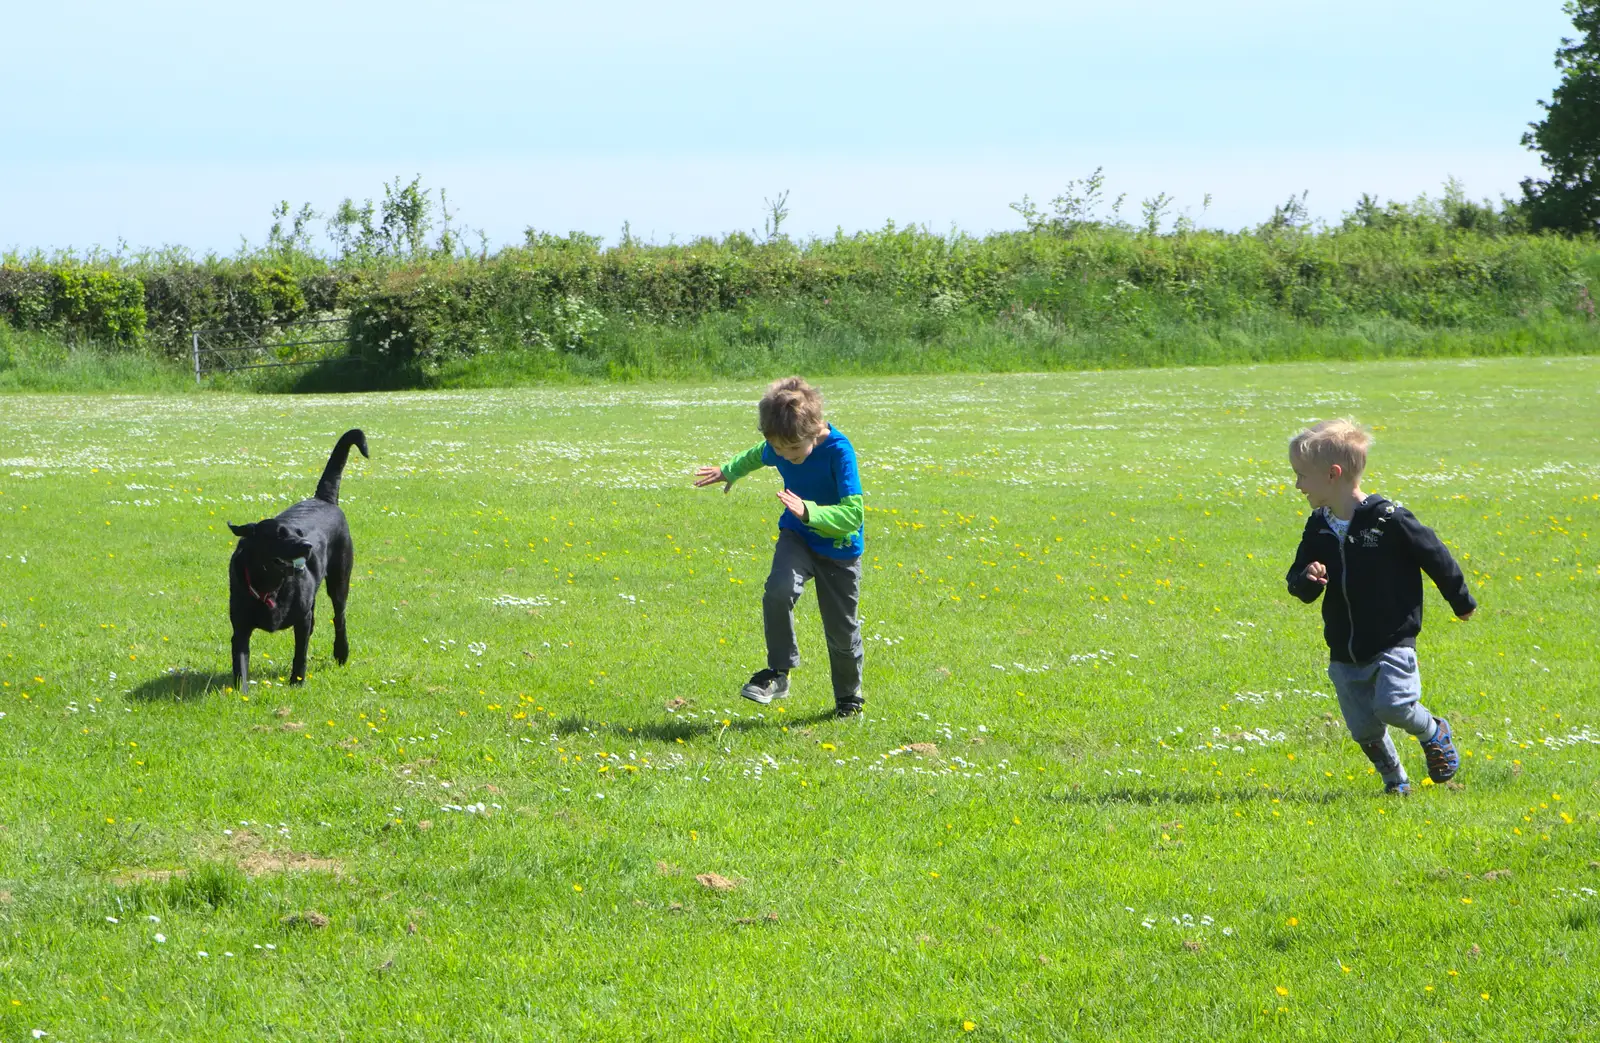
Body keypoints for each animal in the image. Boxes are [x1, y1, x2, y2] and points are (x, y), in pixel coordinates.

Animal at [227, 431, 366, 691]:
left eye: (299, 533)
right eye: (279, 534)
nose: (308, 546)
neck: (270, 586)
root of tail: (324, 499)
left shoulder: (301, 620)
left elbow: (300, 653)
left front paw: (297, 682)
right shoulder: (240, 628)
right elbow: (240, 663)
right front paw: (241, 693)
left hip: (340, 581)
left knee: (339, 617)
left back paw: (341, 652)